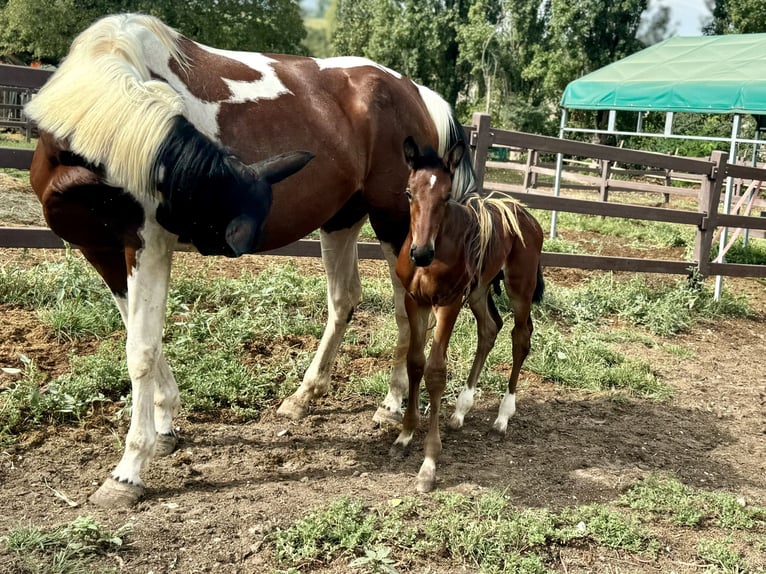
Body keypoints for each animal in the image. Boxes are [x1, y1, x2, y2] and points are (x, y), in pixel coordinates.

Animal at [25, 14, 474, 508]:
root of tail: (417, 92)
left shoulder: (147, 243)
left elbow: (140, 350)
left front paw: (128, 472)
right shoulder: (102, 249)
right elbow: (143, 337)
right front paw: (165, 427)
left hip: (396, 227)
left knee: (403, 310)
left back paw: (391, 406)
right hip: (342, 220)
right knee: (344, 300)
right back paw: (304, 396)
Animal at [396, 137, 544, 492]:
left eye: (446, 195)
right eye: (408, 193)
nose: (421, 253)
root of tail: (524, 215)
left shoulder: (447, 303)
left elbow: (436, 372)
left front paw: (429, 464)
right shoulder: (414, 300)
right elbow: (415, 362)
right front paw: (405, 434)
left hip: (520, 288)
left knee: (520, 337)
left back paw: (502, 417)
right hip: (479, 289)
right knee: (490, 329)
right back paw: (460, 411)